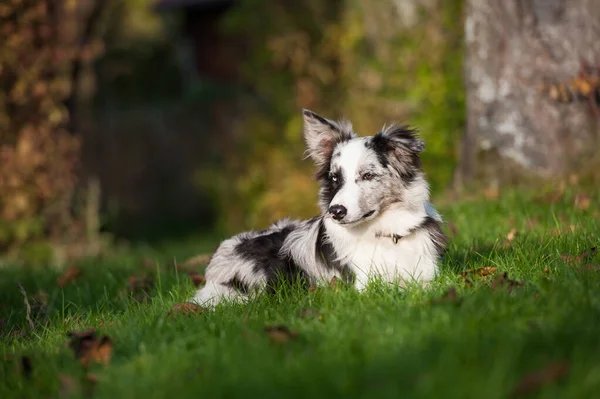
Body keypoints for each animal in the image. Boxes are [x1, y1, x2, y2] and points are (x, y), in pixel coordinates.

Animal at [191, 111, 446, 308]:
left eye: (368, 175)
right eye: (334, 178)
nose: (336, 211)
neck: (384, 234)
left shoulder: (429, 275)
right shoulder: (362, 286)